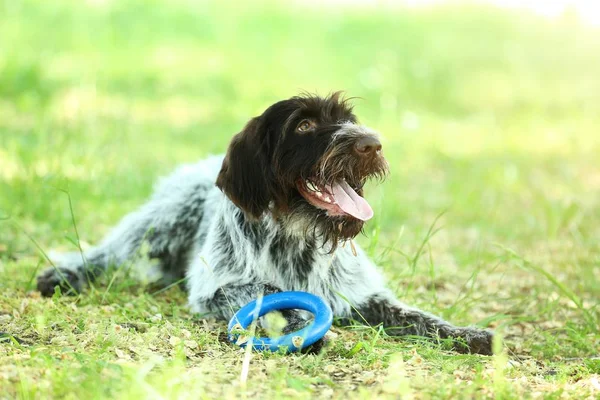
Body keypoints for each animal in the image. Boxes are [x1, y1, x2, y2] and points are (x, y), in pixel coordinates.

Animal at [39, 93, 494, 354]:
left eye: (349, 119)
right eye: (304, 124)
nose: (372, 144)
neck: (298, 237)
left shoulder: (364, 297)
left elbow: (417, 316)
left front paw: (466, 334)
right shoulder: (215, 290)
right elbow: (268, 290)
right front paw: (302, 326)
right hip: (166, 217)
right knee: (112, 251)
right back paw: (65, 274)